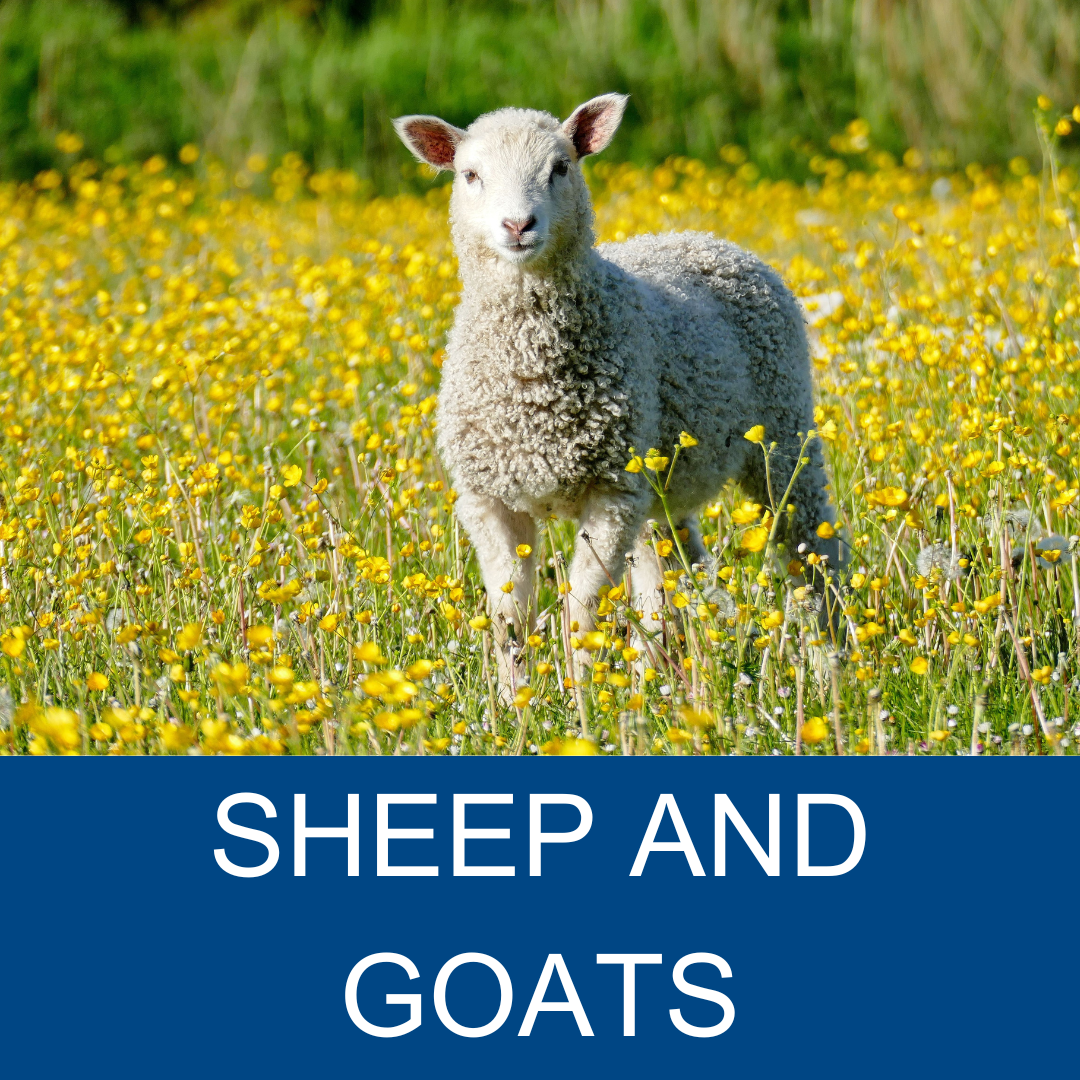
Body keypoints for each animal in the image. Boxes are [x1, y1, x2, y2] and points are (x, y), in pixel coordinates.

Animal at [394, 94, 838, 693]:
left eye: (561, 167)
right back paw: (672, 680)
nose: (518, 225)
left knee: (812, 547)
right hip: (664, 481)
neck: (531, 384)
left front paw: (580, 694)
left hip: (784, 433)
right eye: (470, 175)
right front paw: (514, 700)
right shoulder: (488, 498)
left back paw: (837, 662)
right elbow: (510, 614)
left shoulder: (612, 492)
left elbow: (581, 610)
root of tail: (706, 238)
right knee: (672, 573)